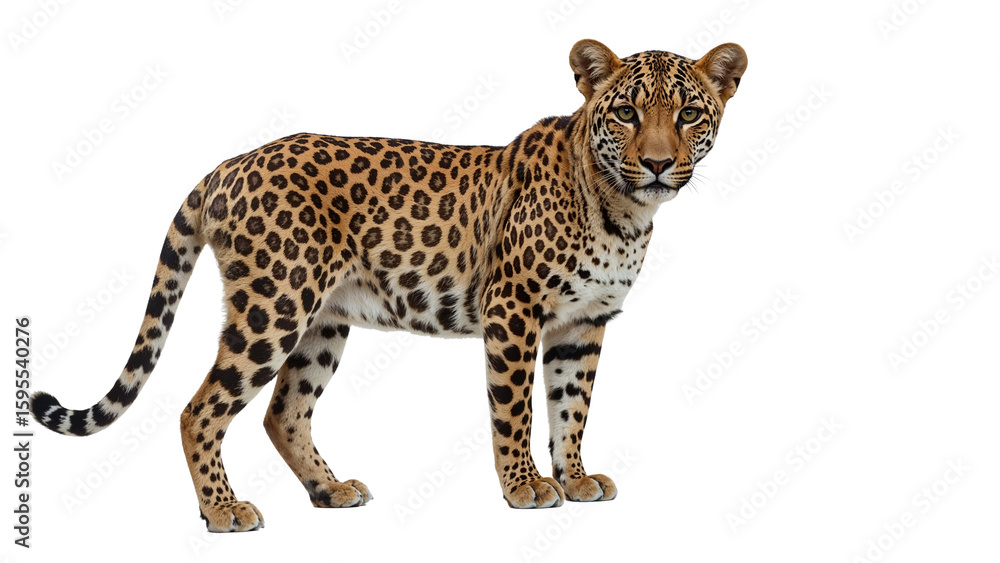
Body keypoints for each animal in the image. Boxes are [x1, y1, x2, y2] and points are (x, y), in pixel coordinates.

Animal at [31, 39, 747, 532]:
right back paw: (224, 510)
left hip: (323, 321)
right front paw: (524, 487)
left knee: (283, 411)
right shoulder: (513, 310)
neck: (624, 212)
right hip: (274, 306)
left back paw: (330, 491)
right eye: (625, 112)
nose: (657, 164)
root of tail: (231, 163)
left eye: (689, 113)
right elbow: (514, 409)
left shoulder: (583, 323)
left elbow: (571, 408)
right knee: (200, 408)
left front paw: (573, 479)